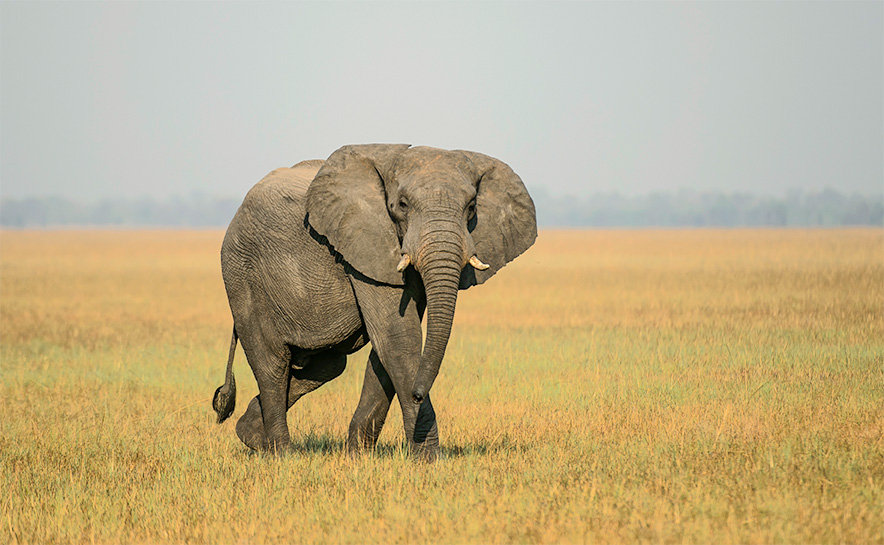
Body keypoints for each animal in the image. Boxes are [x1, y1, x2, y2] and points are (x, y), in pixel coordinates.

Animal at [212, 144, 536, 460]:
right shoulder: (366, 248)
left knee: (328, 364)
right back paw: (282, 455)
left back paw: (252, 435)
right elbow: (397, 340)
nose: (418, 394)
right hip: (242, 276)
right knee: (272, 365)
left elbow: (385, 349)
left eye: (471, 208)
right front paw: (431, 461)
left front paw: (358, 457)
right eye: (402, 205)